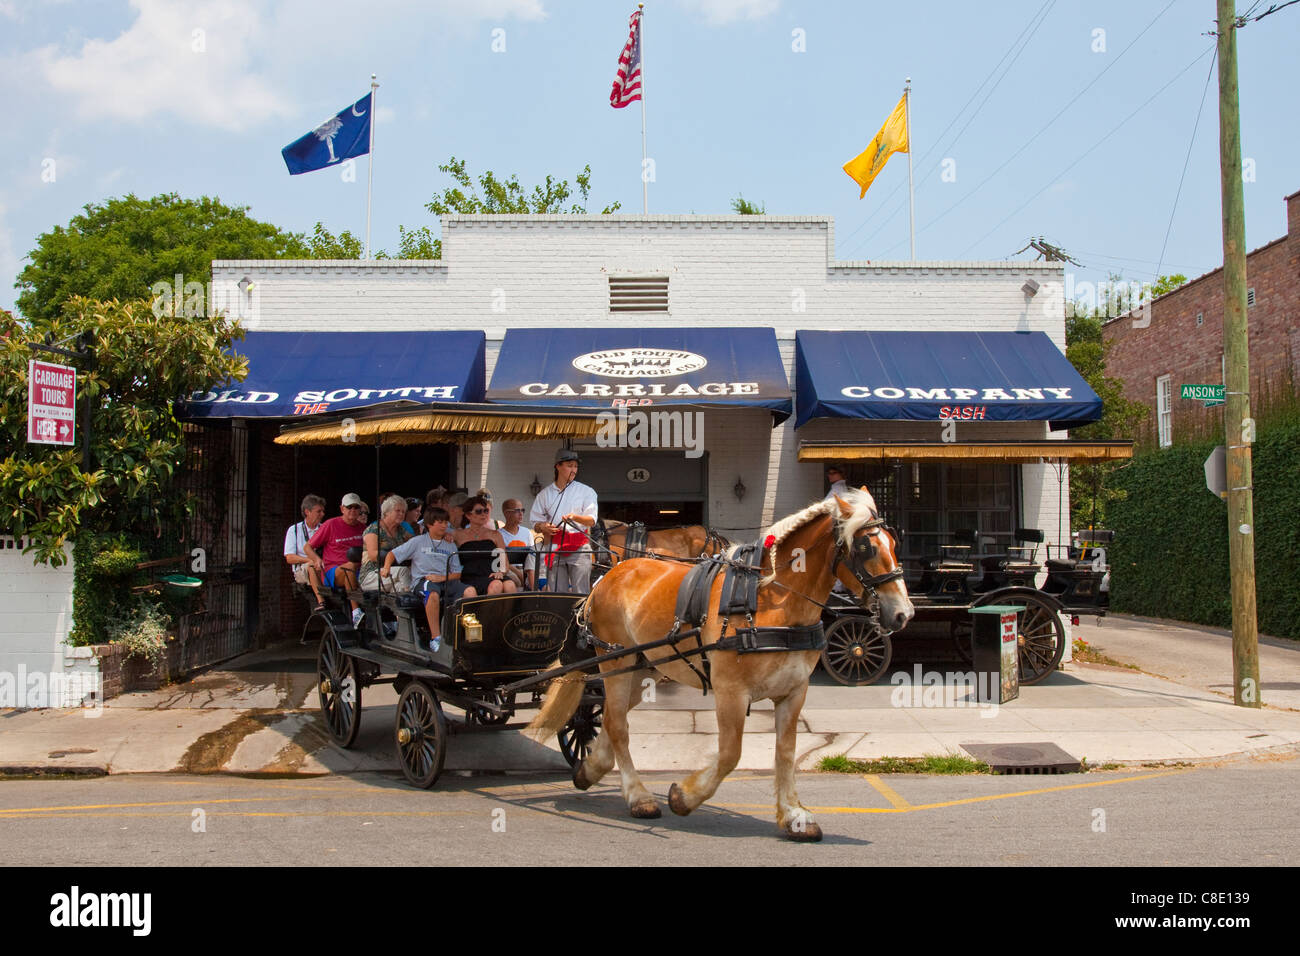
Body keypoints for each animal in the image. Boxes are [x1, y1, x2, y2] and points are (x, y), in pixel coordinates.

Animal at [530, 489, 915, 842]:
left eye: (895, 543)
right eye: (866, 548)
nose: (903, 613)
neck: (772, 599)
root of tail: (607, 577)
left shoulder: (794, 691)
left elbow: (786, 753)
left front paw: (793, 815)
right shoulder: (731, 690)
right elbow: (731, 753)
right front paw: (684, 797)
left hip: (643, 668)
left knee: (613, 717)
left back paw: (591, 770)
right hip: (617, 658)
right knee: (617, 723)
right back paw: (638, 796)